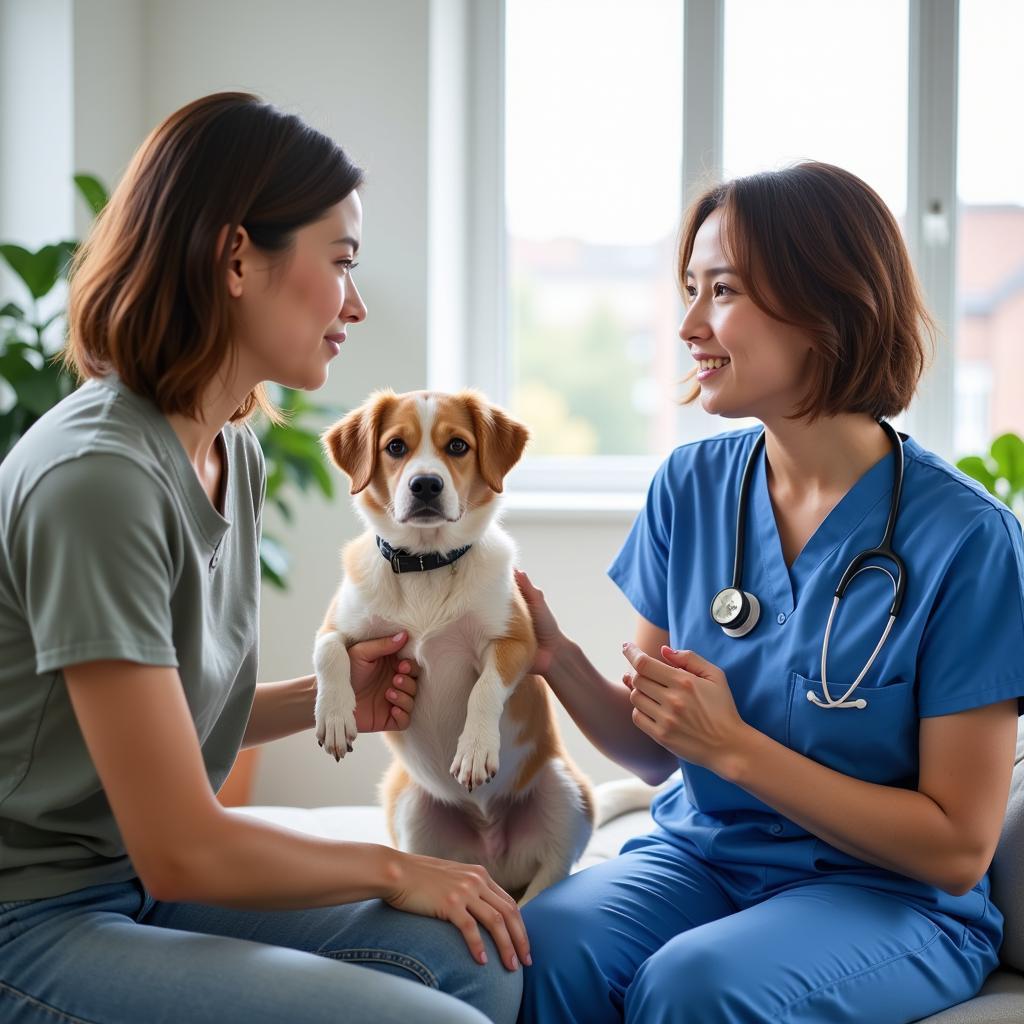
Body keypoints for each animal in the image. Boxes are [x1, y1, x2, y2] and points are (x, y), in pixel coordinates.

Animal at [315, 387, 598, 901]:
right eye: (395, 447)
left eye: (458, 446)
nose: (425, 485)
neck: (426, 564)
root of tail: (493, 859)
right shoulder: (336, 625)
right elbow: (327, 652)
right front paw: (334, 717)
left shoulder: (516, 640)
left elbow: (484, 689)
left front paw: (475, 749)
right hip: (408, 806)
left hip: (566, 793)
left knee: (546, 882)